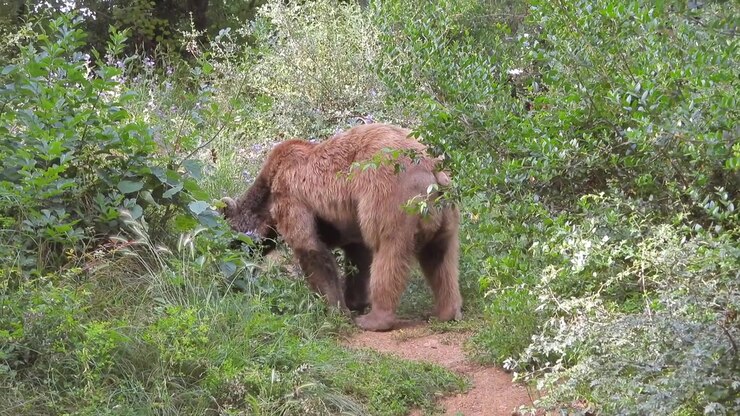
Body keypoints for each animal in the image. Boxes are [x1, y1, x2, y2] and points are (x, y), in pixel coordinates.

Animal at [221, 123, 462, 331]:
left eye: (232, 243)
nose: (231, 272)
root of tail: (433, 171)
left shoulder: (292, 196)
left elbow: (310, 248)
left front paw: (335, 308)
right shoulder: (349, 219)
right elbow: (358, 255)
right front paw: (354, 301)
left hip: (391, 197)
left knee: (388, 251)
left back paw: (374, 319)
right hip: (445, 214)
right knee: (439, 259)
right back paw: (446, 312)